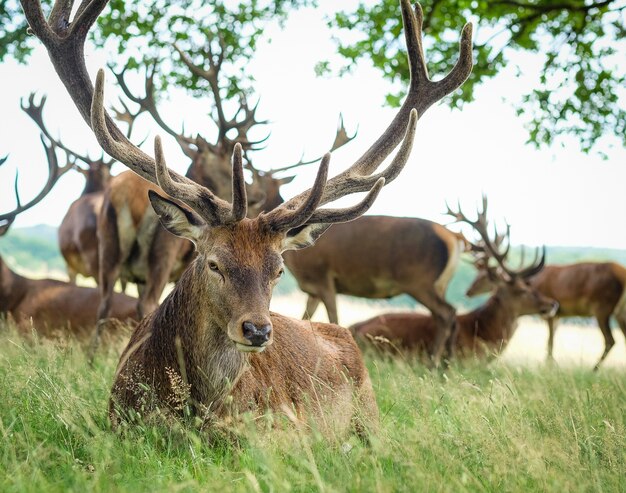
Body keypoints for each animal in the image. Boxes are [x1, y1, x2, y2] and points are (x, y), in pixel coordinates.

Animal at [466, 260, 624, 368]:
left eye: (483, 277)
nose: (468, 291)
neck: (533, 284)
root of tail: (622, 274)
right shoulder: (557, 315)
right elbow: (550, 342)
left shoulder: (551, 315)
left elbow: (549, 342)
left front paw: (548, 367)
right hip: (618, 312)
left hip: (602, 308)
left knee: (610, 340)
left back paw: (593, 370)